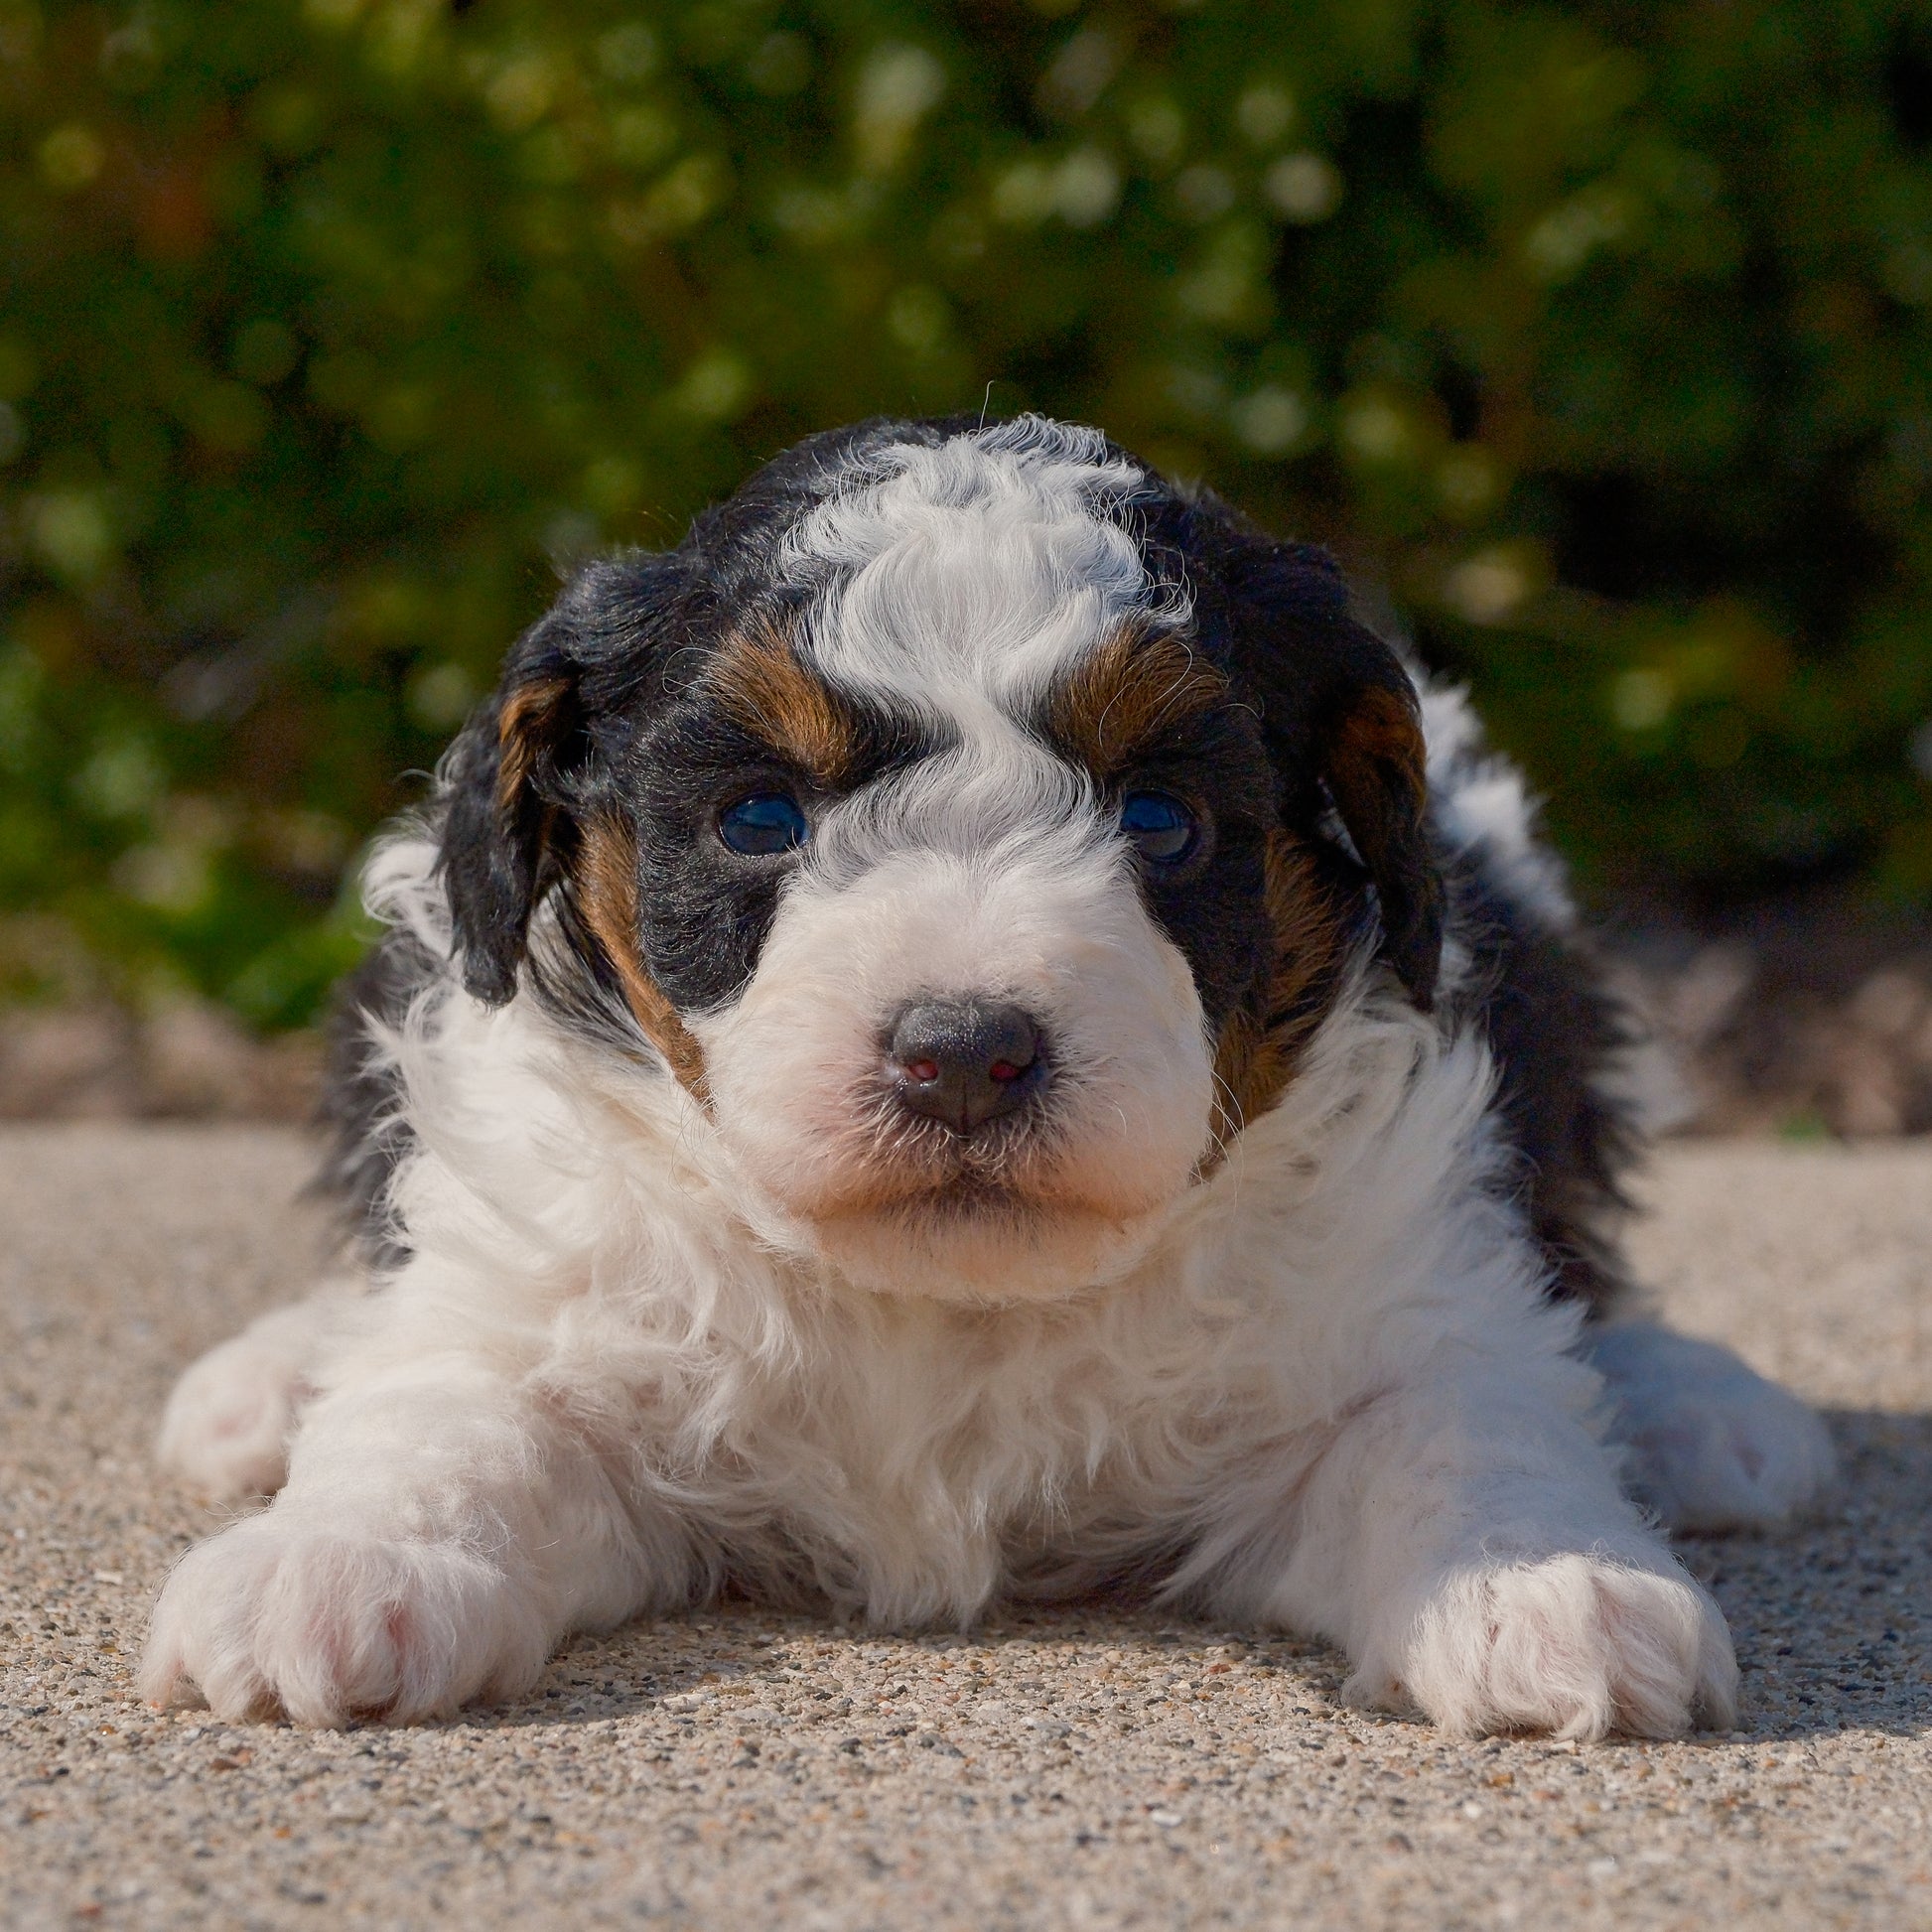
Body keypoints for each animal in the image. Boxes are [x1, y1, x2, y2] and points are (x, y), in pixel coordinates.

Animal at [143, 411, 1831, 1738]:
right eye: (758, 817)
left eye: (1160, 819)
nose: (962, 1052)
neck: (945, 1305)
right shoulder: (541, 1284)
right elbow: (452, 1411)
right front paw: (336, 1566)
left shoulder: (1393, 1298)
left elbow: (1459, 1420)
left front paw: (1550, 1586)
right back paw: (268, 1381)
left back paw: (1701, 1411)